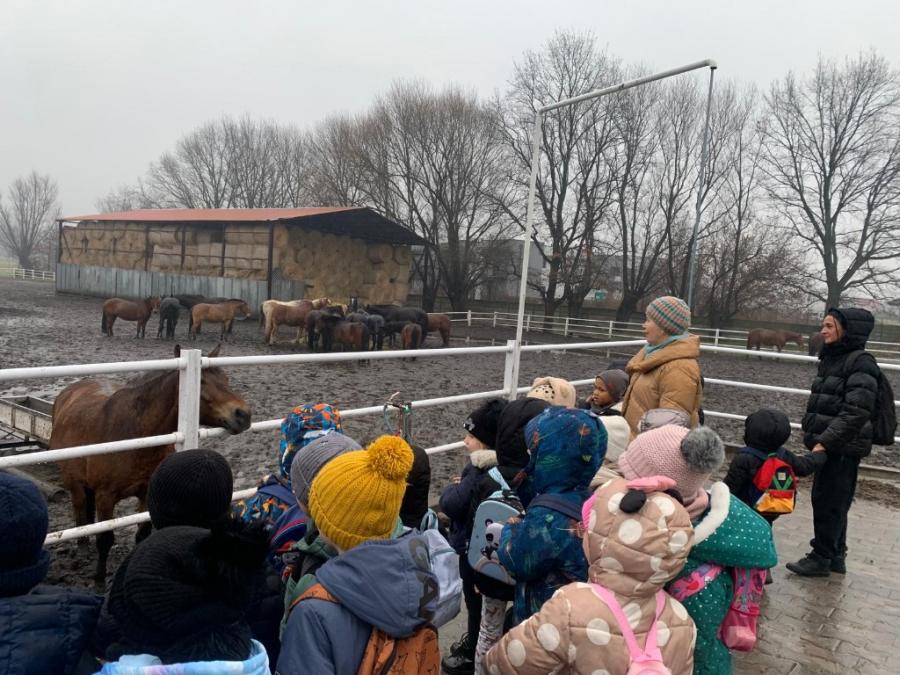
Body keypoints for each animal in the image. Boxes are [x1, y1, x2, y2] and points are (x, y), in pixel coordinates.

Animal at [52, 344, 250, 582]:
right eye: (202, 381)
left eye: (226, 379)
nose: (243, 414)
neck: (138, 434)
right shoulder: (105, 497)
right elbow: (105, 540)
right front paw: (99, 580)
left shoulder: (147, 492)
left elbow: (142, 534)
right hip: (73, 481)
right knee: (79, 504)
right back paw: (82, 544)